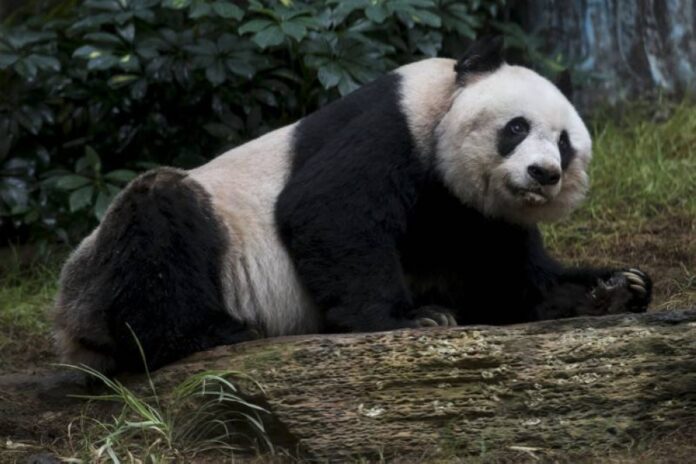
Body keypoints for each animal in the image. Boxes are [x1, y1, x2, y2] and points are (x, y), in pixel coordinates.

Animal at [53, 37, 652, 374]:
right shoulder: (392, 124)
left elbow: (513, 279)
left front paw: (616, 288)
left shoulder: (473, 216)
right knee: (158, 222)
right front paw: (414, 318)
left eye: (566, 145)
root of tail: (70, 330)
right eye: (517, 128)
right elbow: (328, 210)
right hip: (105, 269)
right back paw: (212, 332)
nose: (544, 174)